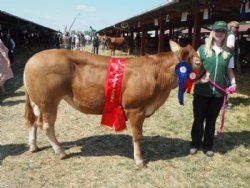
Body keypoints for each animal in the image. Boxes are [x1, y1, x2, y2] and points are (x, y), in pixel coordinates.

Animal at [23, 40, 204, 166]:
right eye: (197, 62)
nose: (207, 75)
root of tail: (32, 59)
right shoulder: (135, 108)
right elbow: (137, 134)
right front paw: (139, 160)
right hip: (48, 101)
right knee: (46, 125)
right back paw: (60, 151)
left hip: (38, 102)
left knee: (33, 121)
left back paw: (33, 146)